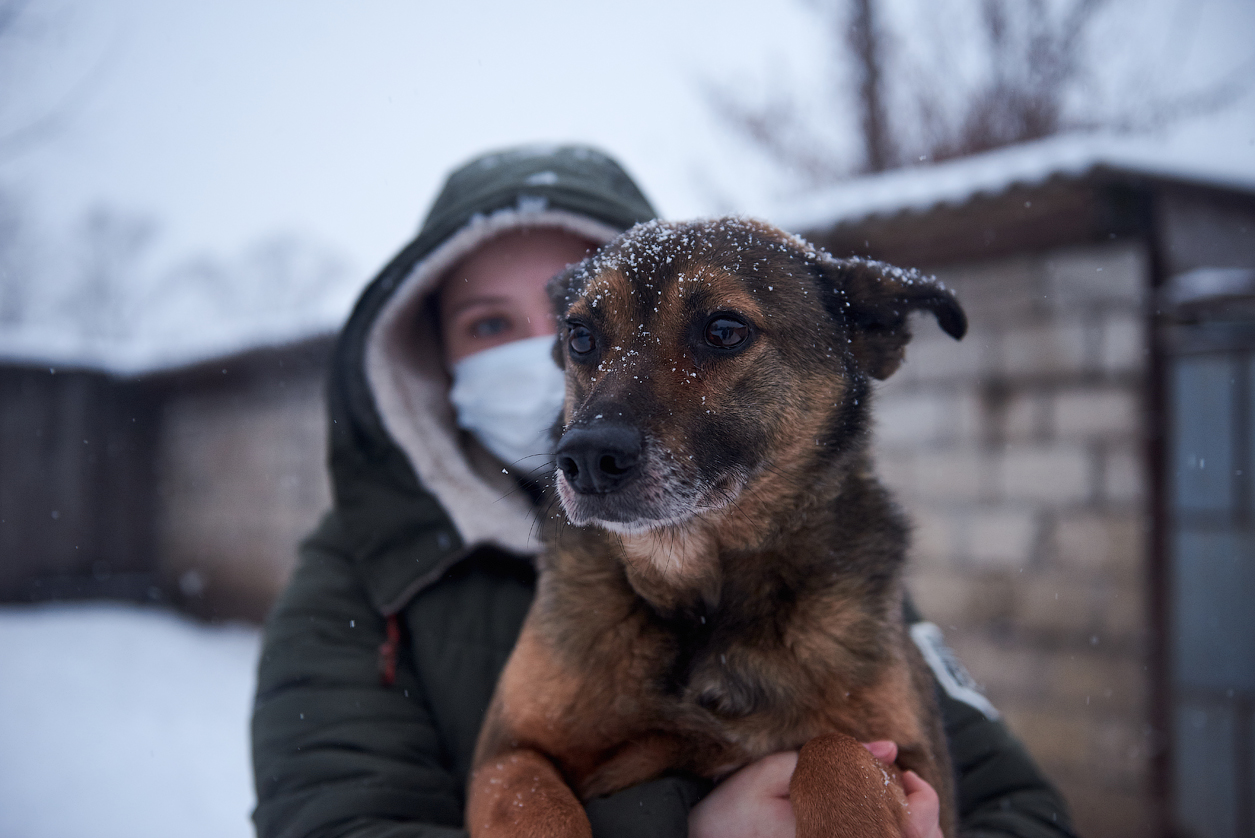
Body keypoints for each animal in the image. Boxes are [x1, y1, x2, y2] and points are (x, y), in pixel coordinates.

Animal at [466, 218, 963, 837]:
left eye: (724, 330)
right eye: (581, 336)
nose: (583, 459)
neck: (700, 603)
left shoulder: (921, 764)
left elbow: (835, 749)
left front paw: (855, 817)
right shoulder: (505, 755)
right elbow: (536, 801)